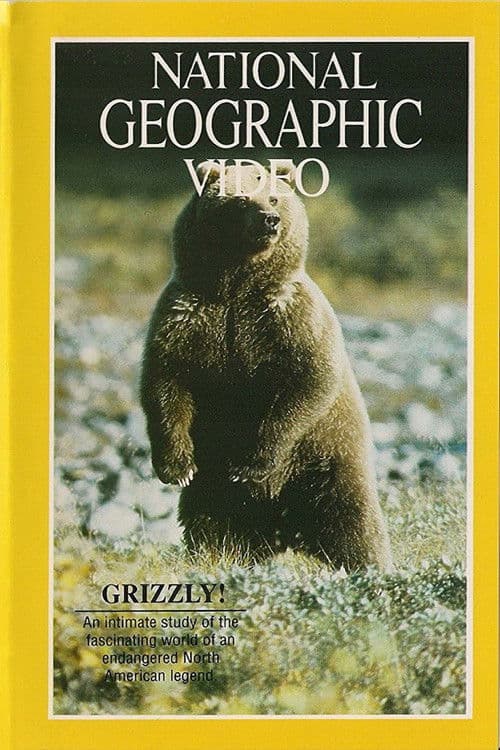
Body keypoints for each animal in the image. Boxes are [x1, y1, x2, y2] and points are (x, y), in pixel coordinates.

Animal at [141, 160, 392, 571]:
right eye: (241, 199)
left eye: (273, 197)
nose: (269, 220)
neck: (235, 287)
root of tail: (284, 533)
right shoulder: (189, 316)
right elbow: (167, 380)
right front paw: (177, 467)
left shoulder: (289, 318)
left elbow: (307, 382)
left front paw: (250, 466)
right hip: (216, 488)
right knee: (210, 522)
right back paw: (219, 556)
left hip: (327, 458)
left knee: (353, 520)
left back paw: (368, 564)